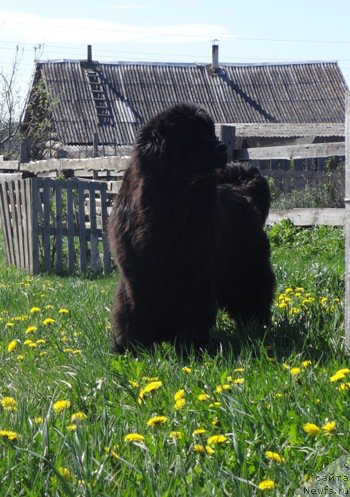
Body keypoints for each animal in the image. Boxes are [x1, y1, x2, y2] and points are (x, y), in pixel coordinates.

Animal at [108, 102, 274, 350]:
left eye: (211, 132)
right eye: (193, 135)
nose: (222, 147)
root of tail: (243, 194)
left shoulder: (195, 273)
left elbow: (193, 309)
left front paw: (190, 346)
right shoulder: (136, 272)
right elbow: (132, 308)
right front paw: (130, 346)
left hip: (247, 269)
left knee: (253, 298)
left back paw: (256, 328)